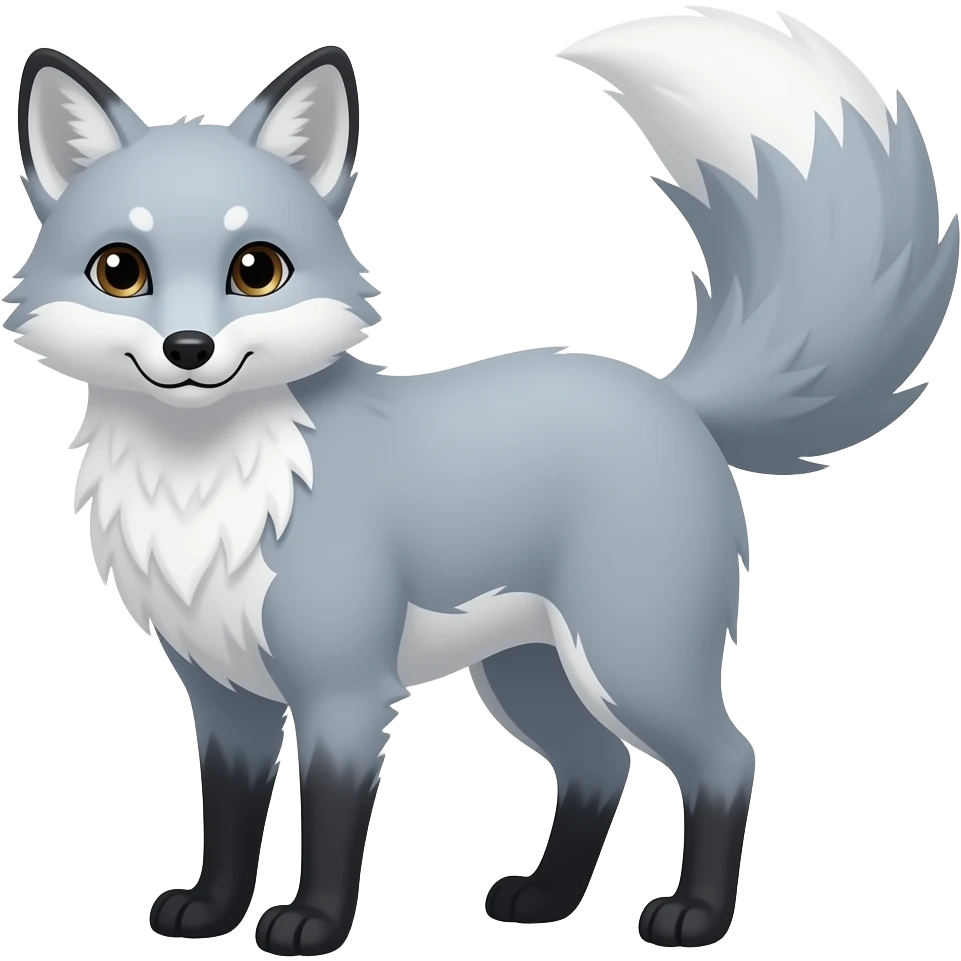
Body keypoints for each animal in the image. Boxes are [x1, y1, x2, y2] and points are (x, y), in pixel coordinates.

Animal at [7, 9, 958, 957]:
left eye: (256, 269)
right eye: (120, 270)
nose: (189, 349)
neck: (202, 490)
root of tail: (670, 395)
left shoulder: (343, 689)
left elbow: (331, 819)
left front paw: (312, 923)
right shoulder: (221, 694)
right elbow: (231, 820)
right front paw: (209, 912)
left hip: (628, 660)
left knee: (727, 757)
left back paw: (694, 915)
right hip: (527, 671)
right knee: (598, 764)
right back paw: (545, 899)